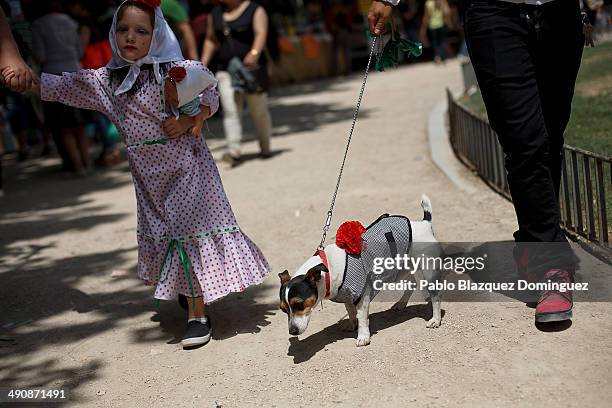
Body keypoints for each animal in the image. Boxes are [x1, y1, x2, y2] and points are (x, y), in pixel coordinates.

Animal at [280, 193, 442, 346]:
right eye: (283, 309)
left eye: (299, 304)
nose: (292, 331)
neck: (328, 268)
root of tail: (424, 224)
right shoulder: (347, 294)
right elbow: (351, 312)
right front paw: (352, 324)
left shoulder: (361, 296)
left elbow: (362, 317)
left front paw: (363, 336)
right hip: (400, 269)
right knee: (412, 283)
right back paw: (401, 304)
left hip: (427, 271)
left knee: (435, 296)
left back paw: (435, 319)